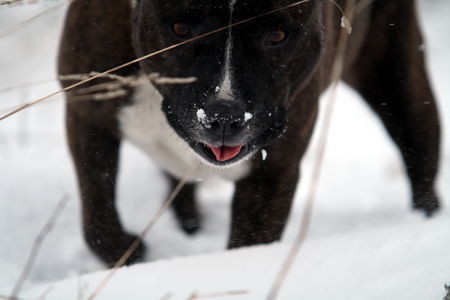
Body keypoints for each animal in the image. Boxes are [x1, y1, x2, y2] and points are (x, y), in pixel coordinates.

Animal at [56, 0, 440, 268]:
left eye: (278, 35)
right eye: (179, 28)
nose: (224, 115)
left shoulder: (272, 174)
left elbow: (248, 244)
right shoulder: (86, 114)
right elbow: (98, 218)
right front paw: (130, 252)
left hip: (398, 80)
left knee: (420, 153)